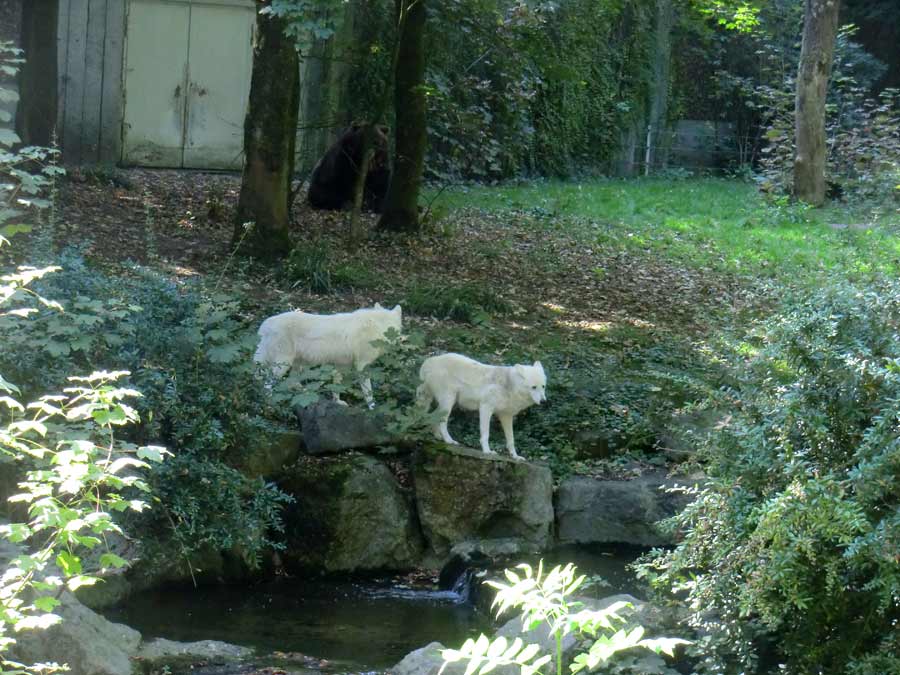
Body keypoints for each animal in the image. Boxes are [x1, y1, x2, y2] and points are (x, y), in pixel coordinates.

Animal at [253, 304, 400, 410]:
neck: (376, 328)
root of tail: (266, 324)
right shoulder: (362, 366)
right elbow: (368, 391)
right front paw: (373, 408)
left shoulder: (341, 365)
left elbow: (336, 386)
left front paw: (337, 402)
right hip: (283, 364)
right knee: (267, 384)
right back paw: (270, 403)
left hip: (297, 364)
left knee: (292, 382)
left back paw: (306, 394)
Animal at [416, 354, 548, 460]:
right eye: (533, 387)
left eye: (543, 386)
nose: (543, 401)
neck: (510, 386)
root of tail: (430, 361)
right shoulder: (485, 408)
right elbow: (486, 434)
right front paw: (487, 451)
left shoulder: (506, 416)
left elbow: (511, 440)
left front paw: (515, 456)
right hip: (448, 402)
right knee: (442, 422)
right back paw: (449, 440)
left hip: (446, 403)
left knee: (433, 416)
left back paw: (437, 436)